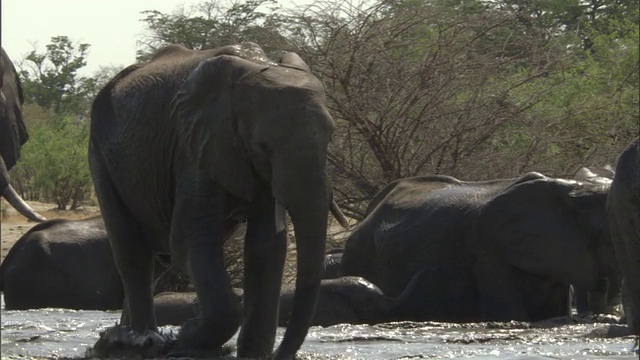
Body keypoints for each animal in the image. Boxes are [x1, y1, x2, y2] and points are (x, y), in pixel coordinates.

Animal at [88, 40, 348, 358]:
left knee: (156, 263)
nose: (277, 355)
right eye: (263, 146)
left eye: (330, 138)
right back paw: (138, 342)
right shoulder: (195, 147)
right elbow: (190, 241)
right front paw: (182, 339)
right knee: (132, 252)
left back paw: (123, 339)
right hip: (101, 153)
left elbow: (266, 246)